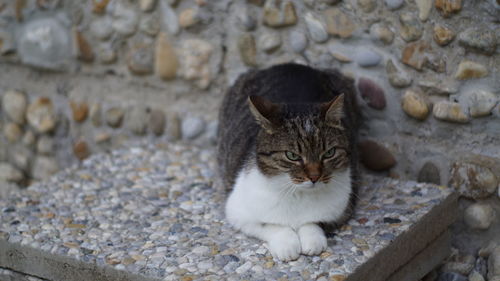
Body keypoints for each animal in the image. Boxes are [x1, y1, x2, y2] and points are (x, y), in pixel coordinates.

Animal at [217, 63, 358, 260]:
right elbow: (271, 225)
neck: (298, 194)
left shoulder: (343, 209)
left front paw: (312, 239)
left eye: (329, 153)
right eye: (292, 156)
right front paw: (287, 245)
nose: (314, 177)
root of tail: (289, 64)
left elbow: (314, 222)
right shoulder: (237, 211)